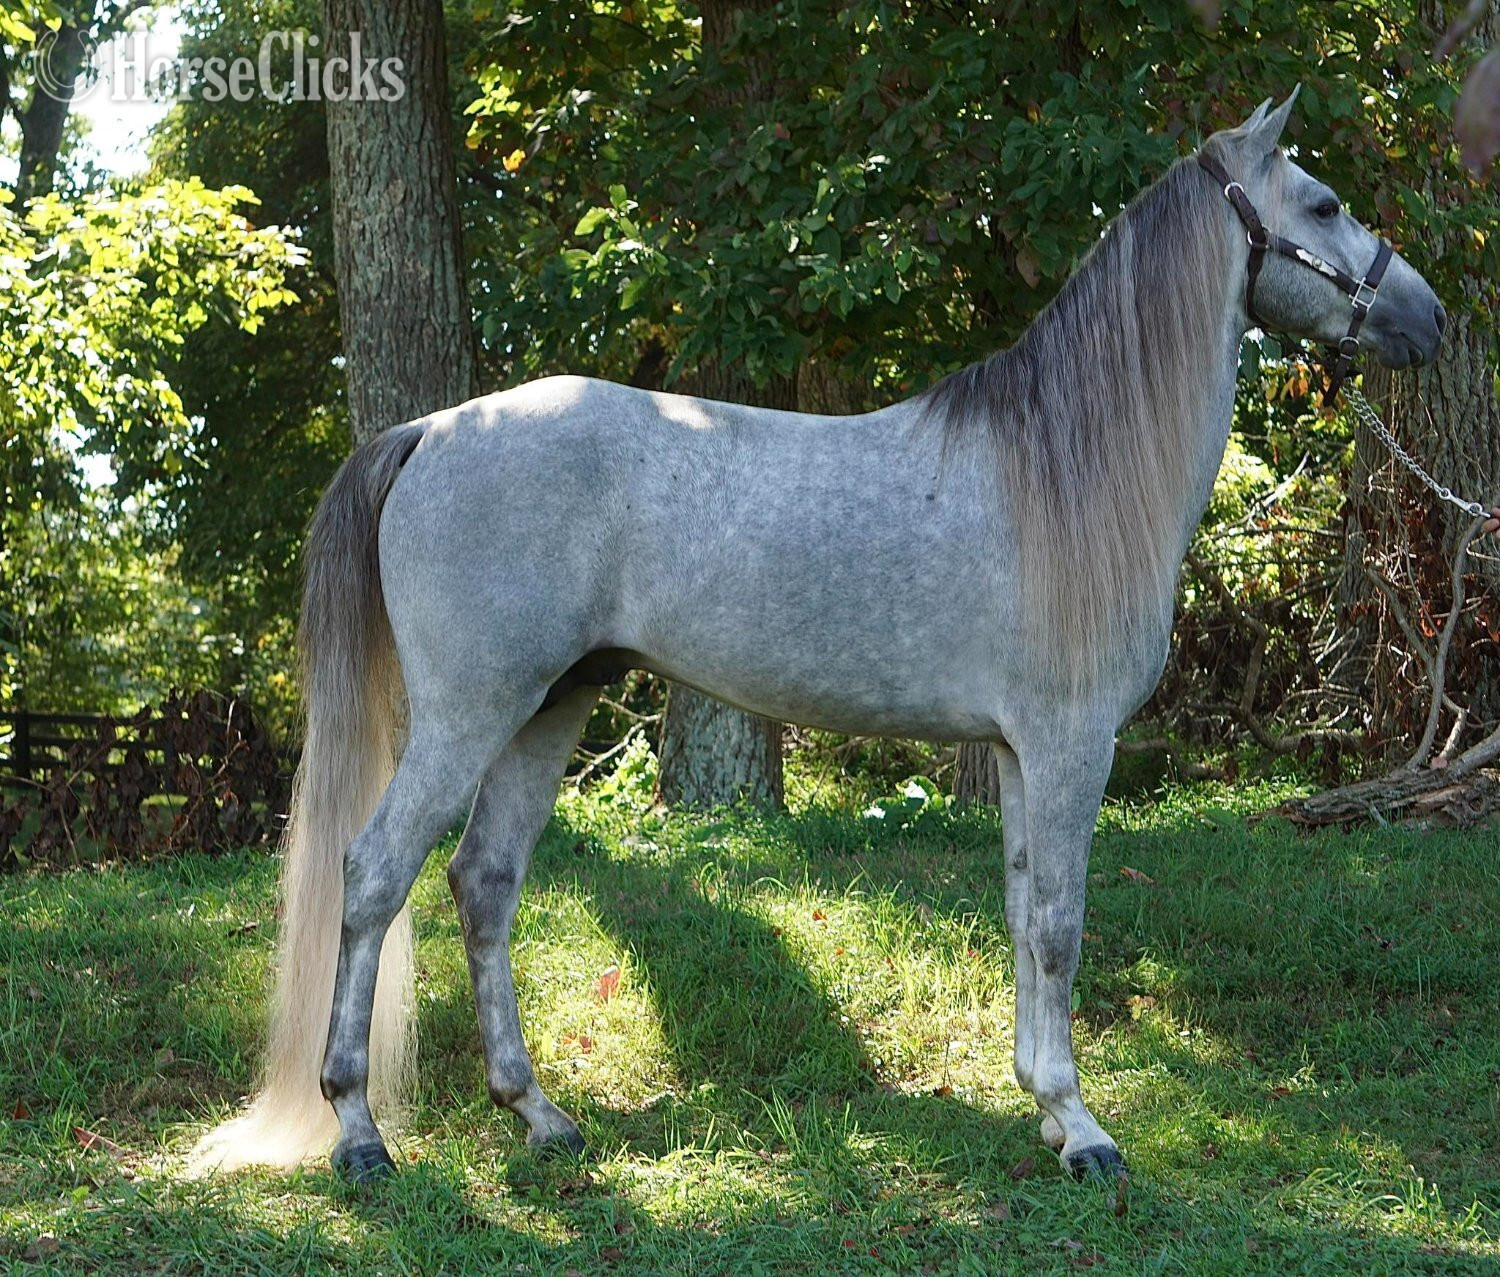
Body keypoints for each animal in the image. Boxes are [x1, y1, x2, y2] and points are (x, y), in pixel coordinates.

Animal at [191, 91, 1444, 1183]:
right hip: (469, 712)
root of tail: (432, 430)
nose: (1428, 317)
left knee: (483, 883)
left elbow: (1020, 907)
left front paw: (1044, 1104)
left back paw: (539, 1114)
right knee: (374, 875)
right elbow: (1057, 925)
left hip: (549, 706)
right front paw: (1083, 1131)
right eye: (1324, 201)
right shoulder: (1067, 743)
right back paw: (357, 1132)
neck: (1057, 471)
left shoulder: (1013, 753)